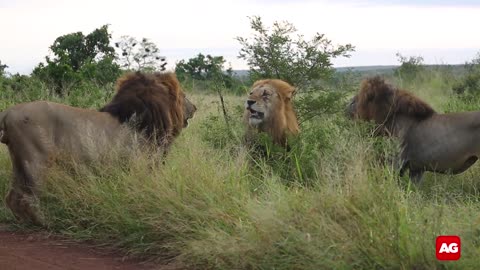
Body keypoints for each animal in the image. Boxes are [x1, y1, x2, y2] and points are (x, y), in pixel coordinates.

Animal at [1, 70, 197, 225]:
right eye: (183, 95)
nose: (195, 107)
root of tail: (8, 112)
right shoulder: (139, 165)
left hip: (19, 161)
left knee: (12, 197)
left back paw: (24, 222)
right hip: (36, 160)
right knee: (28, 198)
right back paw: (44, 223)